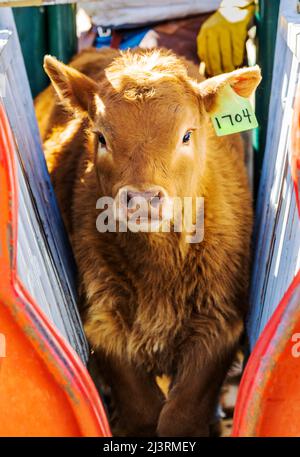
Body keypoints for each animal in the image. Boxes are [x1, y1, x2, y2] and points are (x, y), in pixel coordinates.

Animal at [34, 48, 260, 436]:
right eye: (101, 137)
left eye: (187, 135)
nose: (141, 200)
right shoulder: (103, 323)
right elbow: (142, 413)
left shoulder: (220, 324)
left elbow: (181, 418)